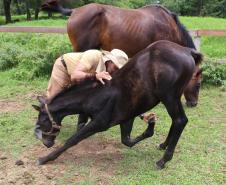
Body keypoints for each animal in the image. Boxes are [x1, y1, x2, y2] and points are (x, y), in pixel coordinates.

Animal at [32, 40, 202, 169]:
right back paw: (163, 145)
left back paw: (163, 160)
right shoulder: (127, 117)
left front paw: (45, 158)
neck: (94, 94)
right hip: (173, 97)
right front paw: (150, 125)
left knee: (180, 120)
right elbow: (127, 140)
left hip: (169, 97)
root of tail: (187, 51)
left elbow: (72, 140)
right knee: (176, 121)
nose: (46, 143)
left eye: (42, 121)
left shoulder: (100, 122)